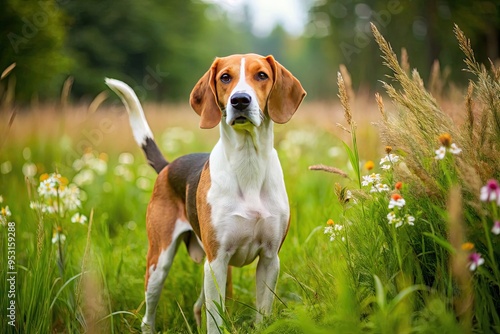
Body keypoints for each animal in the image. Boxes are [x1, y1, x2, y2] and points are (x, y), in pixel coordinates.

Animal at [106, 53, 304, 332]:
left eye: (262, 75)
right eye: (225, 77)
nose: (240, 100)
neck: (248, 162)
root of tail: (167, 167)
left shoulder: (269, 259)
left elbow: (262, 315)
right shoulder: (217, 261)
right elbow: (215, 320)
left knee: (198, 306)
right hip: (160, 262)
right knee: (148, 316)